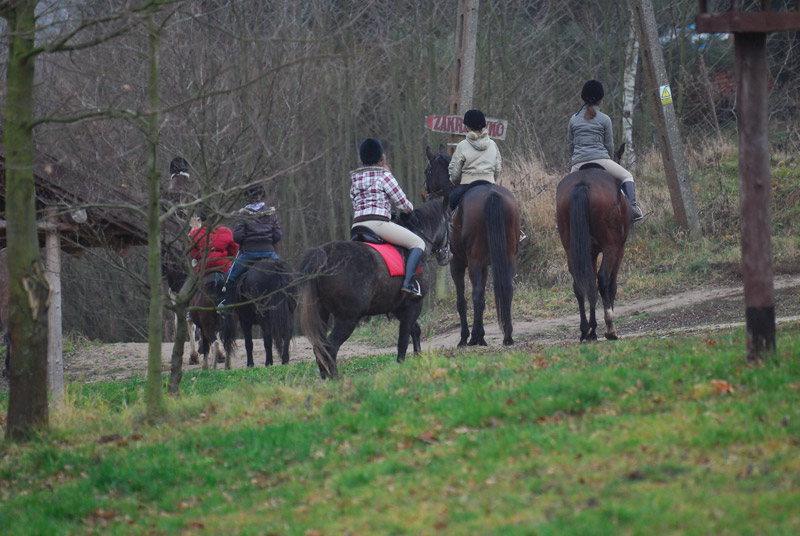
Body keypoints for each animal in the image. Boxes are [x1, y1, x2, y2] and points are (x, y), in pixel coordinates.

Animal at [298, 199, 450, 378]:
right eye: (450, 221)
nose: (447, 256)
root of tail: (322, 254)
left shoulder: (399, 307)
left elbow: (415, 330)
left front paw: (418, 359)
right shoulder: (413, 304)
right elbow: (404, 339)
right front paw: (402, 367)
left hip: (322, 314)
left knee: (319, 347)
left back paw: (326, 377)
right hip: (348, 318)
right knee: (330, 347)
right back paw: (335, 379)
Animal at [422, 146, 520, 348]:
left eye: (427, 171)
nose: (425, 193)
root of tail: (493, 195)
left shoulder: (457, 265)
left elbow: (463, 301)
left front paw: (466, 337)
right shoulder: (484, 266)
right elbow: (482, 299)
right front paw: (480, 334)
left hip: (472, 261)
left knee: (475, 294)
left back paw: (474, 337)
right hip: (507, 258)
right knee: (507, 290)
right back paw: (507, 336)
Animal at [556, 146, 632, 340]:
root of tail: (582, 184)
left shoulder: (589, 252)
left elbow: (590, 284)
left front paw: (592, 329)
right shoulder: (619, 248)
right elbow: (611, 285)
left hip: (571, 249)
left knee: (580, 284)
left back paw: (584, 330)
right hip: (611, 247)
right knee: (603, 279)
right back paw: (610, 327)